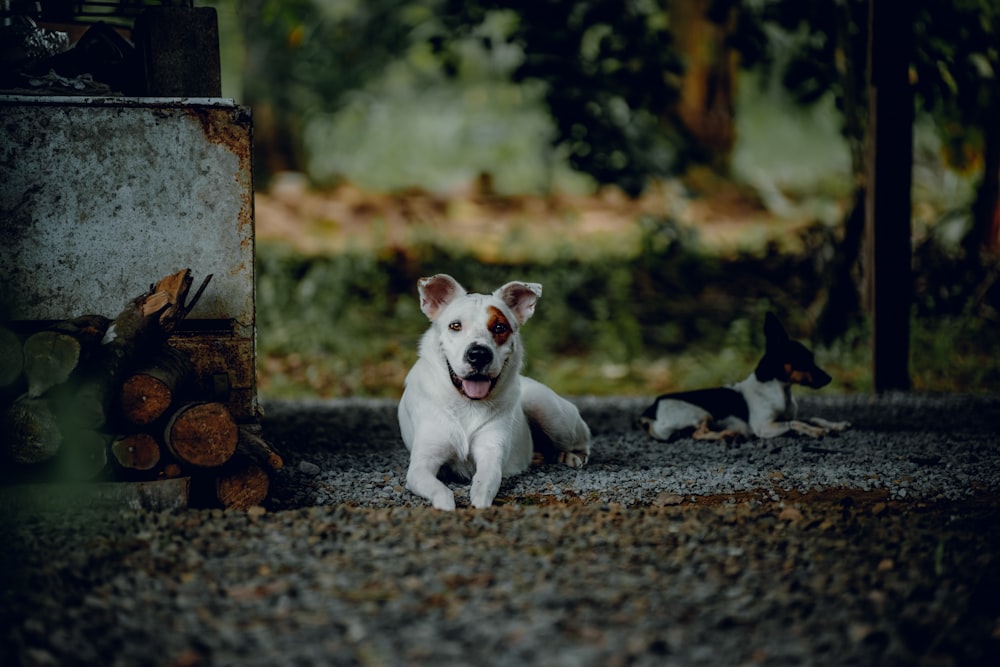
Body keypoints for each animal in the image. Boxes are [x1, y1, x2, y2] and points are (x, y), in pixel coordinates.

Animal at [396, 274, 588, 508]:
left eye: (499, 327)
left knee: (583, 438)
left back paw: (571, 456)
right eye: (455, 325)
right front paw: (446, 507)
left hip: (549, 412)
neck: (467, 403)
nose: (478, 354)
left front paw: (480, 504)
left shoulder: (491, 455)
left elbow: (484, 484)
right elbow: (440, 490)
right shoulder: (421, 465)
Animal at [640, 314, 852, 444]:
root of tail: (650, 411)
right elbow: (797, 424)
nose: (830, 378)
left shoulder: (787, 417)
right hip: (701, 413)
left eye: (812, 358)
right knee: (697, 434)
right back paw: (728, 434)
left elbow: (813, 418)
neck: (779, 390)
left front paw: (837, 425)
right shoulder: (764, 427)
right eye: (804, 360)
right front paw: (815, 431)